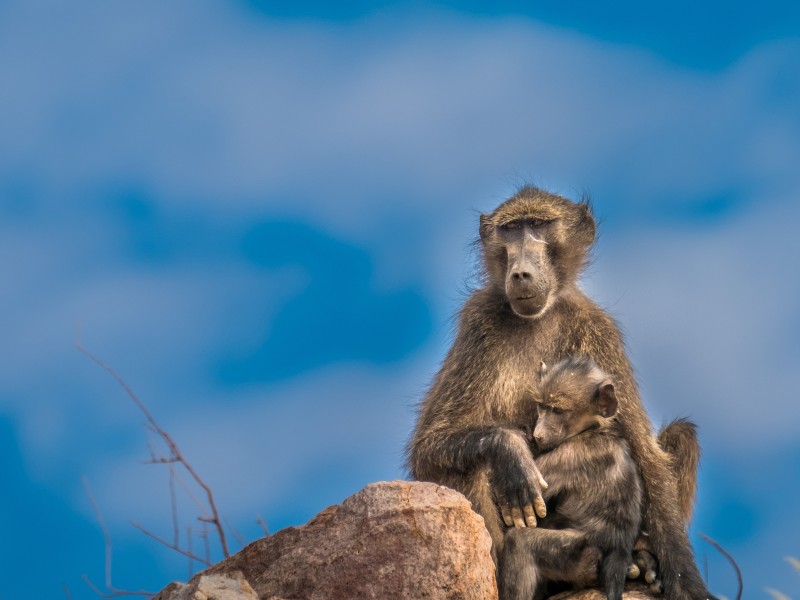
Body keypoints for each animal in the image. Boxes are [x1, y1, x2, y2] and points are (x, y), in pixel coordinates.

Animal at [499, 356, 642, 600]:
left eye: (557, 410)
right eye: (542, 406)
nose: (538, 434)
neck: (594, 429)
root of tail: (619, 554)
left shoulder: (566, 455)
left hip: (577, 556)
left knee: (520, 543)